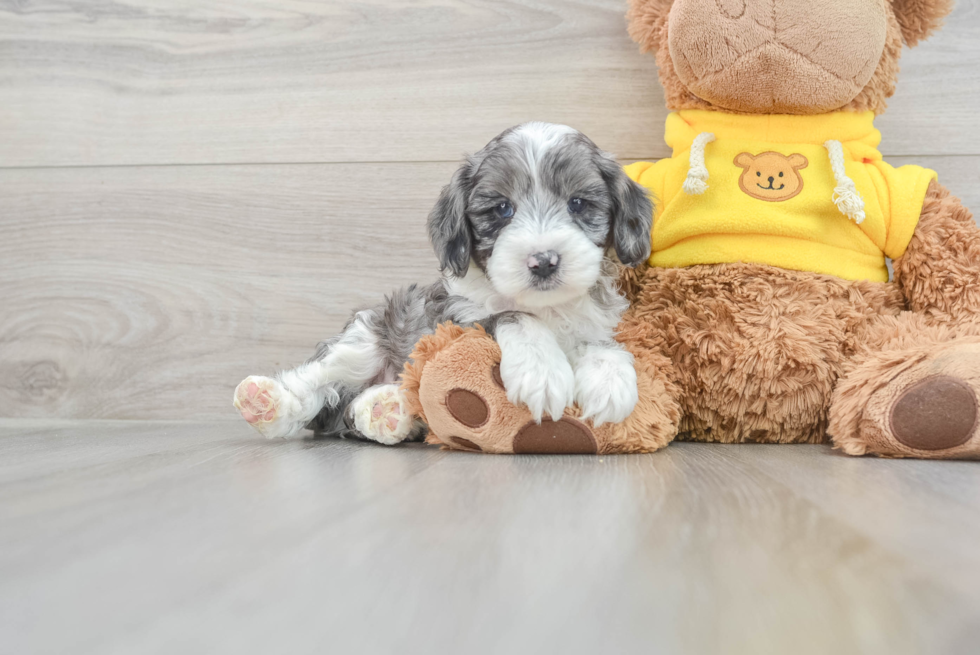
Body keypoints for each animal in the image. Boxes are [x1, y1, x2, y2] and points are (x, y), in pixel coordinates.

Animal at [234, 123, 656, 446]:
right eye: (502, 209)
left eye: (578, 204)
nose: (543, 261)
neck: (545, 305)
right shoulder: (455, 322)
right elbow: (516, 316)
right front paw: (542, 370)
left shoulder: (595, 322)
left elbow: (602, 344)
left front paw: (609, 381)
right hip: (366, 338)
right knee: (318, 386)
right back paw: (268, 403)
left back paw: (386, 411)